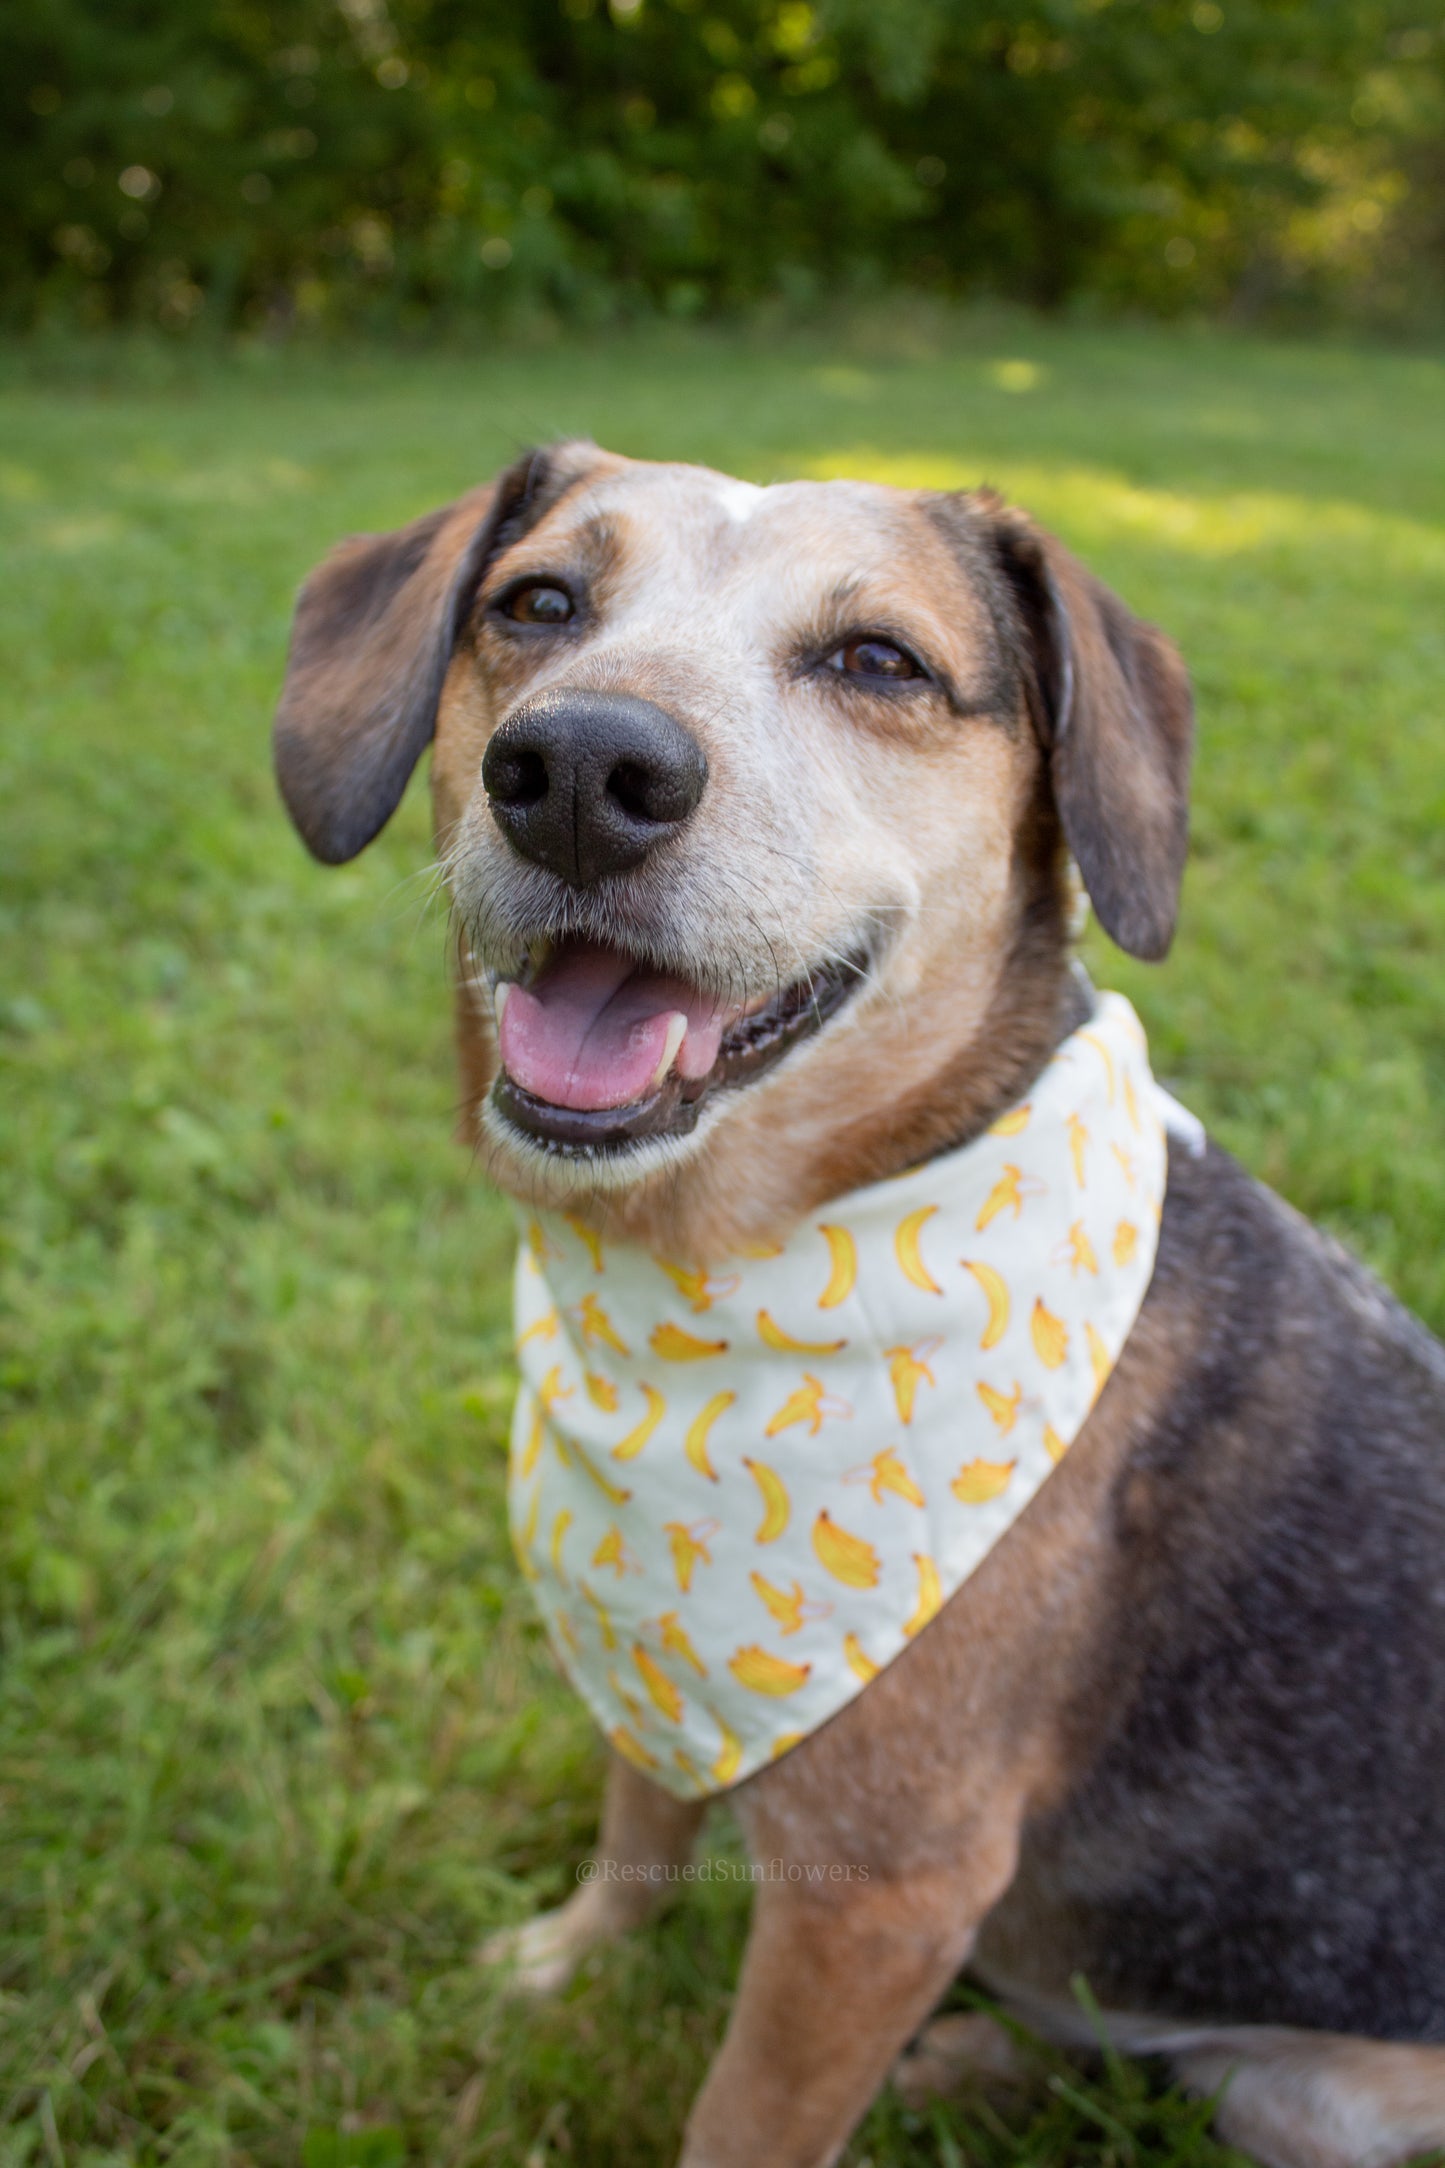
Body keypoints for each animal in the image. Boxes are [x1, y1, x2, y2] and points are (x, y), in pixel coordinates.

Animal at [270, 444, 1445, 2168]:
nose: (577, 767)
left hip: (1329, 2096)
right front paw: (562, 1967)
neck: (707, 1273)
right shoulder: (652, 1663)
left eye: (879, 660)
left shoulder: (878, 1902)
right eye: (536, 604)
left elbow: (742, 2119)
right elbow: (637, 1821)